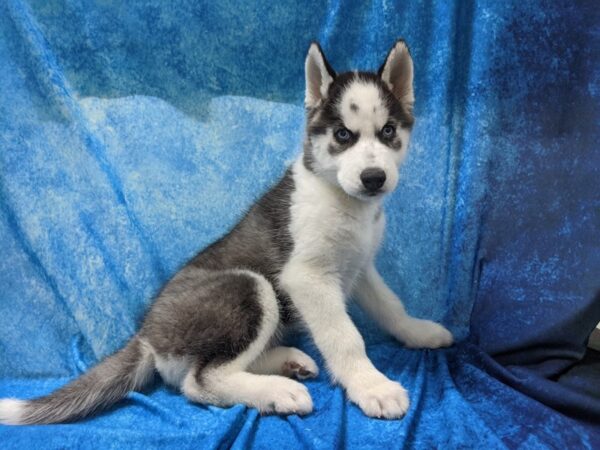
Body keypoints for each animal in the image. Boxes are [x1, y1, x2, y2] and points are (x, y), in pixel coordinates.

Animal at [0, 40, 450, 424]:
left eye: (388, 131)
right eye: (343, 135)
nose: (374, 178)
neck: (344, 199)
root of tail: (146, 334)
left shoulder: (360, 268)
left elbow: (391, 306)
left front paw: (418, 331)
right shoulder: (308, 278)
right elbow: (346, 336)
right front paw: (372, 386)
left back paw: (288, 362)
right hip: (249, 286)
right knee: (198, 380)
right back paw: (277, 391)